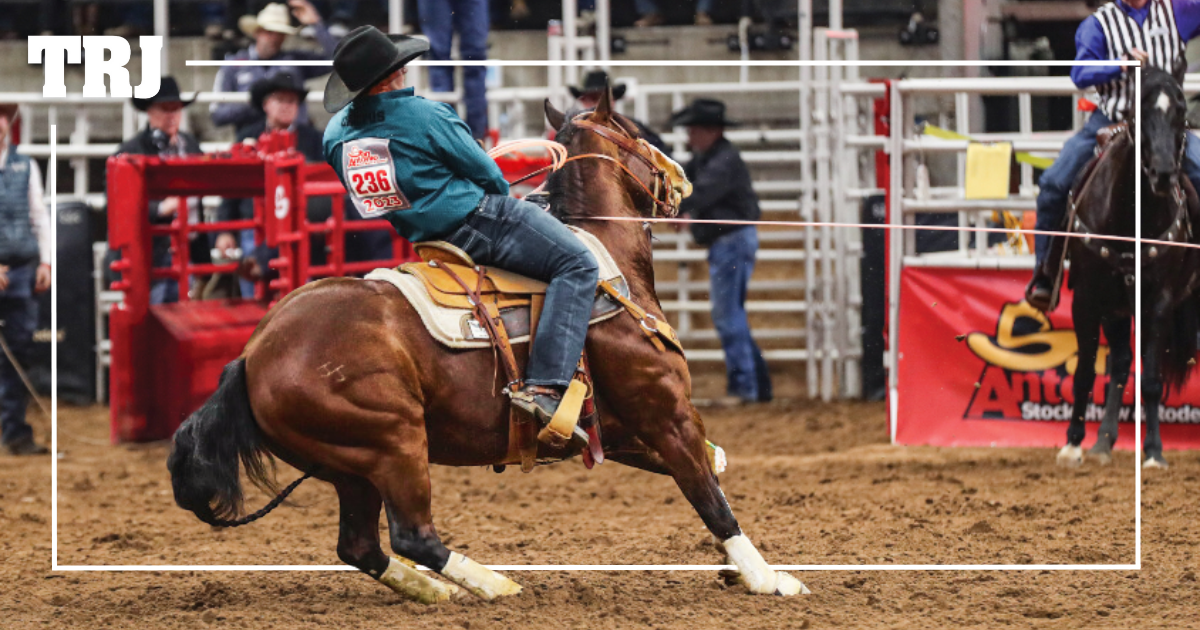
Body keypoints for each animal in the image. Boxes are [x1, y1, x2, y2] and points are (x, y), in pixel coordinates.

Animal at [167, 86, 809, 602]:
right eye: (637, 132)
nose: (679, 176)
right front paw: (766, 578)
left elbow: (708, 469)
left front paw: (740, 565)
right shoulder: (665, 414)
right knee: (413, 535)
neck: (608, 263)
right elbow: (708, 495)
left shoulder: (622, 430)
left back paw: (440, 593)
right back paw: (494, 585)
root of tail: (253, 354)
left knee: (361, 546)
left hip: (350, 464)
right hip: (393, 442)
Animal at [1055, 63, 1200, 470]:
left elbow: (1150, 380)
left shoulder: (1159, 301)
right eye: (1138, 114)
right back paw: (1103, 441)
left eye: (1181, 113)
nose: (1164, 174)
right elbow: (1086, 371)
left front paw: (1154, 451)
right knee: (1119, 363)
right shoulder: (1087, 298)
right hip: (1115, 308)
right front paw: (1072, 444)